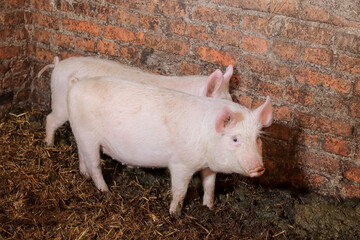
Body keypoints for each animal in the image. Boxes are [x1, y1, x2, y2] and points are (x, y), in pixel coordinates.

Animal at [67, 76, 272, 216]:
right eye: (235, 139)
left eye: (257, 138)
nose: (259, 168)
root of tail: (76, 84)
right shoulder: (181, 164)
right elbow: (180, 191)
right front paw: (174, 215)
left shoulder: (209, 166)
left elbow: (210, 186)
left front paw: (209, 207)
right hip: (88, 135)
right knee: (95, 165)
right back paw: (106, 192)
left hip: (81, 134)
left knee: (82, 154)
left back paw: (84, 175)